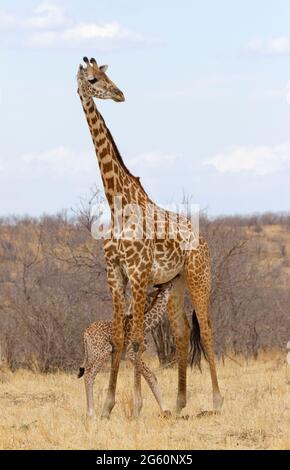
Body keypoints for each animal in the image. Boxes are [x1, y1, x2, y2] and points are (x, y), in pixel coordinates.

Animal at [77, 278, 177, 416]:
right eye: (166, 285)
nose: (172, 283)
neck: (146, 325)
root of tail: (85, 333)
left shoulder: (132, 354)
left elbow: (145, 376)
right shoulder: (131, 352)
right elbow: (150, 376)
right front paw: (163, 410)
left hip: (92, 353)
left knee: (87, 372)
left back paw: (90, 413)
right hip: (102, 352)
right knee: (89, 374)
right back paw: (92, 414)